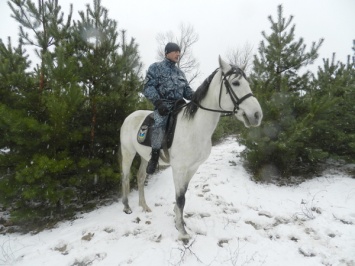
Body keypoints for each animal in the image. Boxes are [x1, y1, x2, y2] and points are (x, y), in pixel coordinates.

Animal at [121, 56, 262, 243]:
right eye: (236, 83)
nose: (257, 115)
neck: (194, 127)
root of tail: (129, 117)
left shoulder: (193, 167)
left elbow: (183, 195)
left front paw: (178, 220)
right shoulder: (179, 169)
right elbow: (180, 198)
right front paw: (182, 231)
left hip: (145, 157)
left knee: (140, 177)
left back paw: (144, 206)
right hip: (128, 153)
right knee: (125, 177)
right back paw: (126, 207)